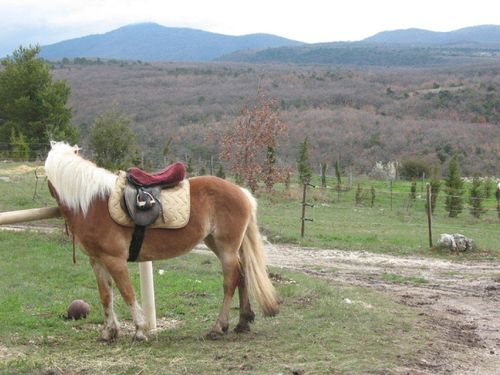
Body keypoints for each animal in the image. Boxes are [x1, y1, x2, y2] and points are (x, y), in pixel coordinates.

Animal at [44, 142, 280, 342]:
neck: (92, 203)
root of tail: (241, 192)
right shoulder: (97, 261)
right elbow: (105, 296)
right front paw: (108, 332)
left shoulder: (115, 260)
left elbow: (127, 293)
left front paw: (140, 331)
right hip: (218, 245)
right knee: (242, 274)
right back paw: (242, 322)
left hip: (226, 247)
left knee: (230, 280)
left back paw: (218, 327)